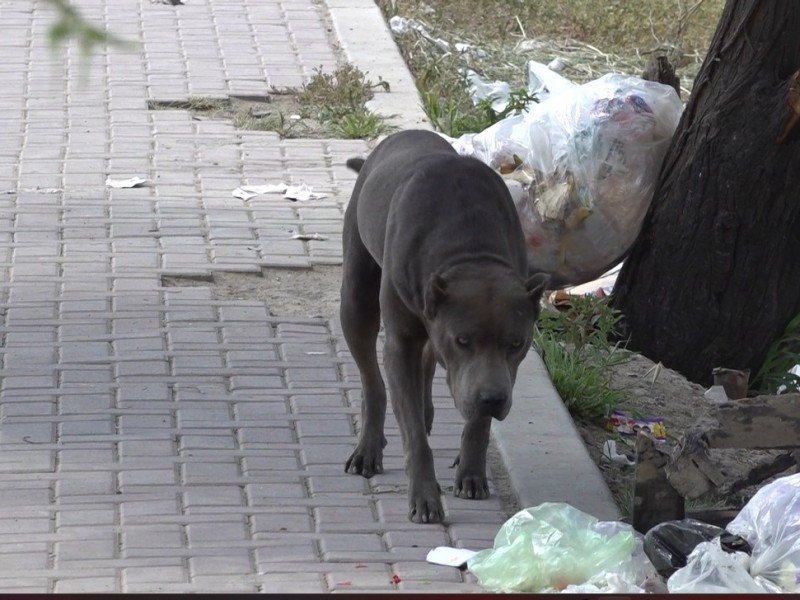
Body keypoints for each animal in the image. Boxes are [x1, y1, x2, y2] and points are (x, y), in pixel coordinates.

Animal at [338, 129, 552, 524]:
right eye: (463, 340)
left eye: (516, 344)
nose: (492, 400)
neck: (469, 252)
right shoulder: (401, 342)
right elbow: (414, 437)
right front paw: (424, 497)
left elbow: (477, 424)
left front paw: (471, 472)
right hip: (356, 298)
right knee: (373, 380)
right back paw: (369, 447)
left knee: (425, 363)